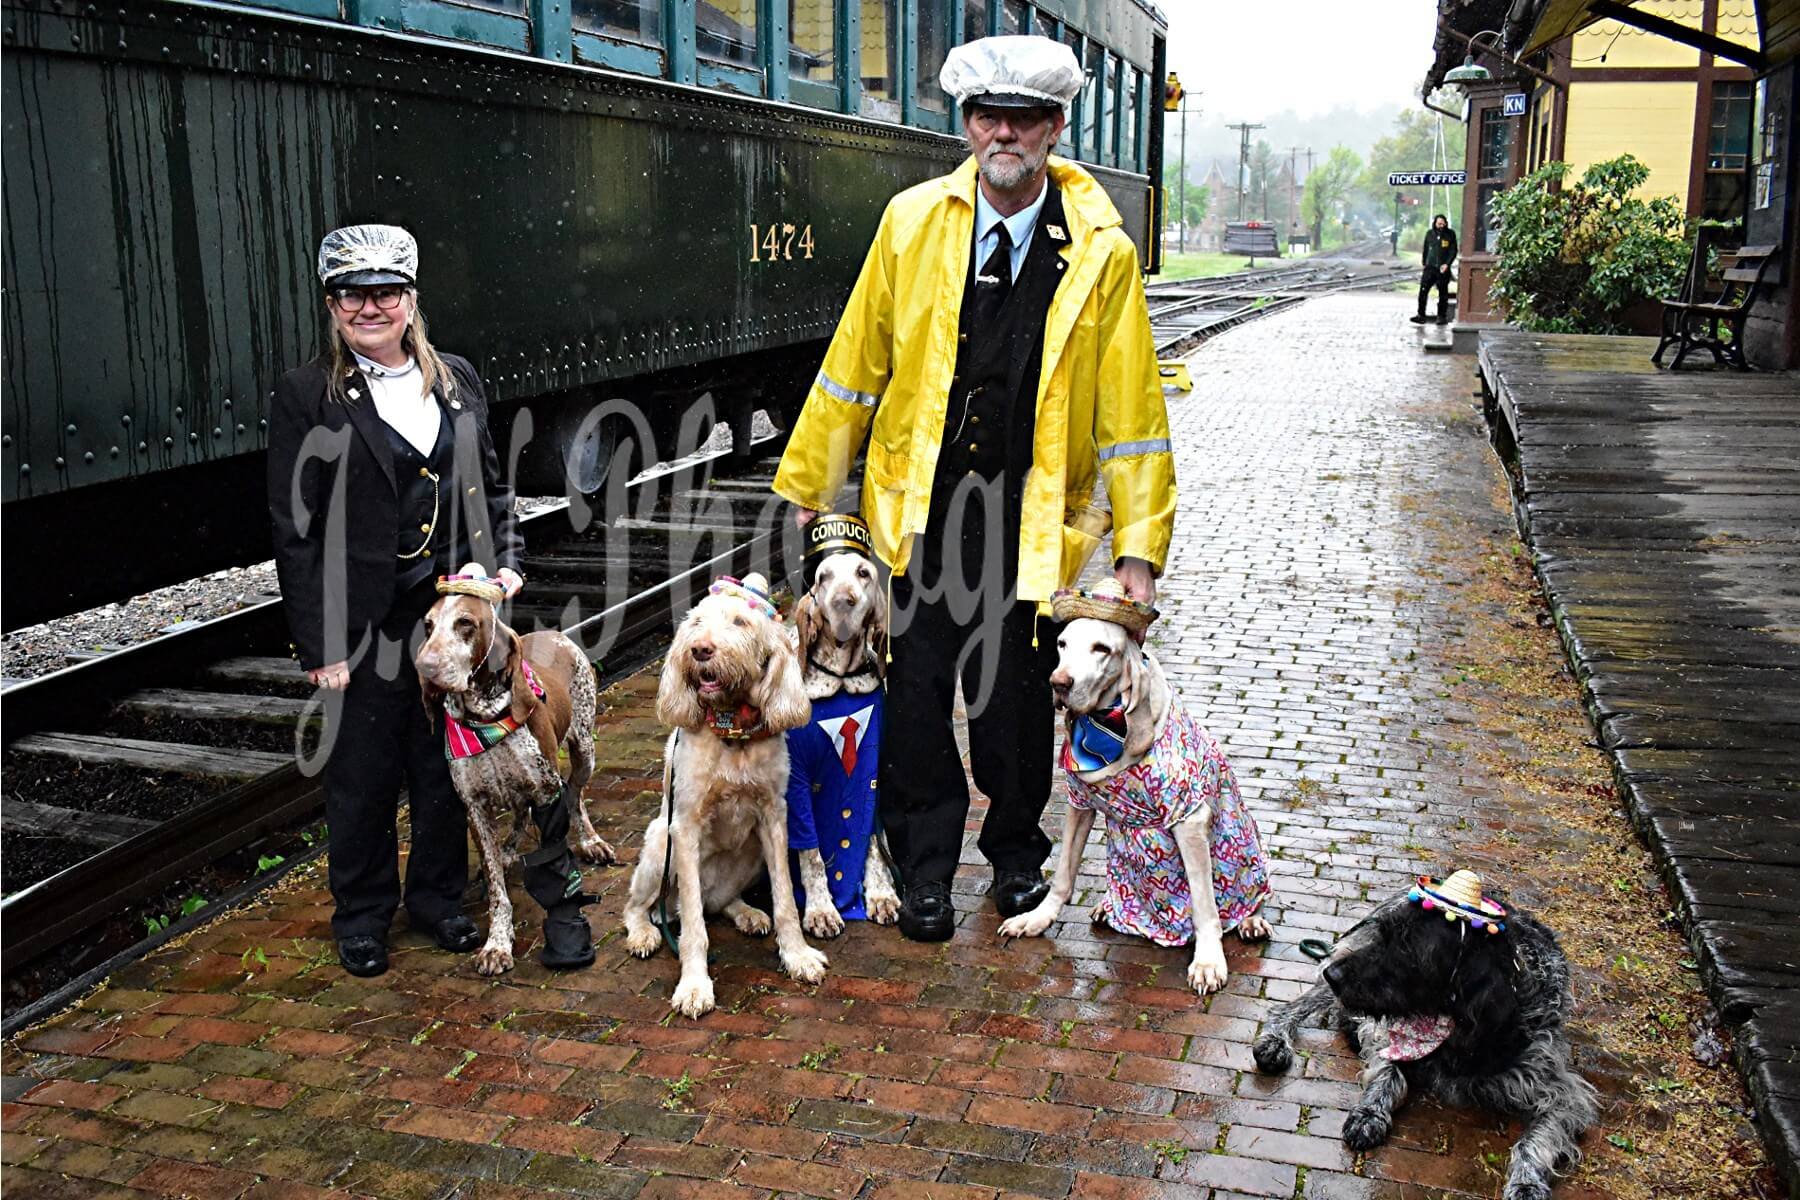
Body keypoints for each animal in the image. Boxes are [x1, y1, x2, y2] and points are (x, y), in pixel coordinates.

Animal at [417, 572, 615, 978]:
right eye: (428, 625)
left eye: (465, 623)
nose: (424, 667)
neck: (485, 719)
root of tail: (556, 634)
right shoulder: (475, 808)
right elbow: (495, 885)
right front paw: (497, 942)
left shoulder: (547, 793)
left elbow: (557, 868)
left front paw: (565, 936)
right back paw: (509, 849)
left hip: (584, 750)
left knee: (577, 796)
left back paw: (590, 840)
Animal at [615, 572, 820, 1014]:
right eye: (695, 623)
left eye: (740, 623)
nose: (700, 650)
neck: (732, 730)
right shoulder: (685, 827)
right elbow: (694, 924)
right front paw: (695, 986)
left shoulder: (774, 819)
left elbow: (786, 902)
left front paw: (797, 956)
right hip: (659, 849)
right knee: (642, 906)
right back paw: (643, 933)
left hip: (751, 856)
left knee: (720, 903)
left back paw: (746, 913)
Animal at [1252, 874, 1605, 1200]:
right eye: (1384, 933)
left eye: (1409, 950)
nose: (1332, 974)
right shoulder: (1388, 1035)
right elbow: (1390, 1074)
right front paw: (1370, 1112)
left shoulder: (1565, 1094)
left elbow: (1535, 1139)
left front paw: (1527, 1183)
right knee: (1290, 1008)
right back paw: (1274, 1041)